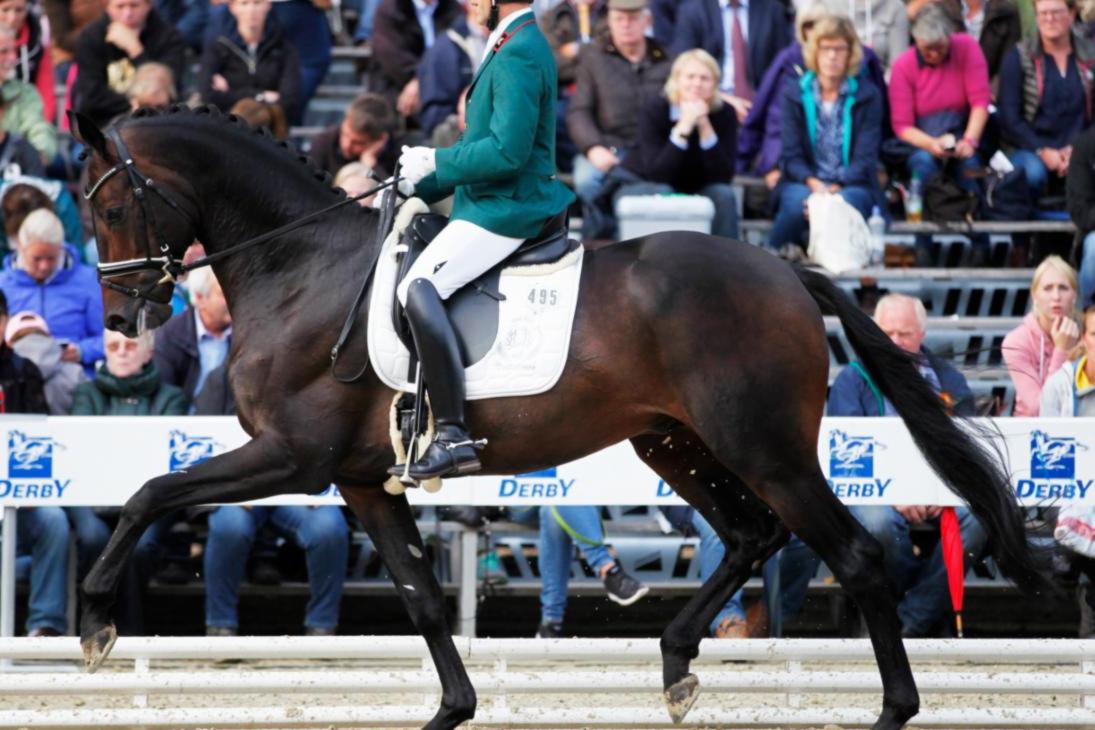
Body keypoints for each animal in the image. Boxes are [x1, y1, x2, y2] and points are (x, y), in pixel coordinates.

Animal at [68, 107, 1042, 730]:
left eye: (110, 206)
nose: (122, 322)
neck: (301, 266)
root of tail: (785, 272)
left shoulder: (291, 456)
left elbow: (151, 489)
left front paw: (96, 622)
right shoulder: (358, 479)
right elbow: (422, 598)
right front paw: (452, 711)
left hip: (763, 449)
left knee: (854, 555)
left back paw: (886, 710)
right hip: (674, 442)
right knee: (751, 535)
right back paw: (676, 661)